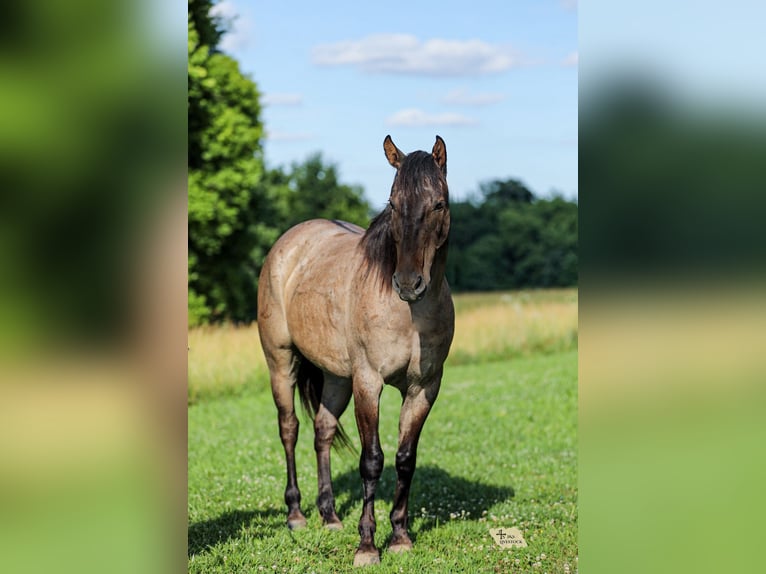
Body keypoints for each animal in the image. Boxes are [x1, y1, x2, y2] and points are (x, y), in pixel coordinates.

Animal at [257, 135, 454, 566]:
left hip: (336, 377)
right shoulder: (369, 383)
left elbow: (405, 459)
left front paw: (400, 537)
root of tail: (287, 244)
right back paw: (296, 514)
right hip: (281, 362)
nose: (409, 283)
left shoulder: (424, 389)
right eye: (393, 204)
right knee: (289, 428)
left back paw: (329, 516)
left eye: (438, 204)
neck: (408, 314)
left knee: (323, 431)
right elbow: (372, 460)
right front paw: (366, 545)